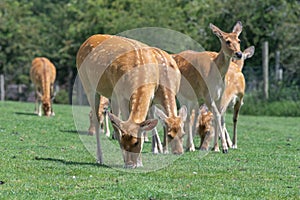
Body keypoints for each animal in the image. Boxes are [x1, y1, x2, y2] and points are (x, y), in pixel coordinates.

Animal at [76, 34, 184, 167]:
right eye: (169, 135)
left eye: (183, 134)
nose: (130, 164)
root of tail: (87, 40)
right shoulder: (122, 96)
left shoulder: (151, 97)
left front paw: (142, 161)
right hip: (88, 85)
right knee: (98, 118)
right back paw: (100, 158)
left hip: (111, 96)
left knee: (114, 120)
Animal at [175, 21, 243, 153]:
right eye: (227, 41)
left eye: (239, 40)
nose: (239, 54)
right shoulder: (207, 94)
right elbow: (217, 115)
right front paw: (224, 147)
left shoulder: (220, 95)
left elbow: (218, 116)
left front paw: (217, 147)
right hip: (182, 94)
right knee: (186, 115)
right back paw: (190, 146)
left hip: (195, 97)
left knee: (193, 114)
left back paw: (189, 145)